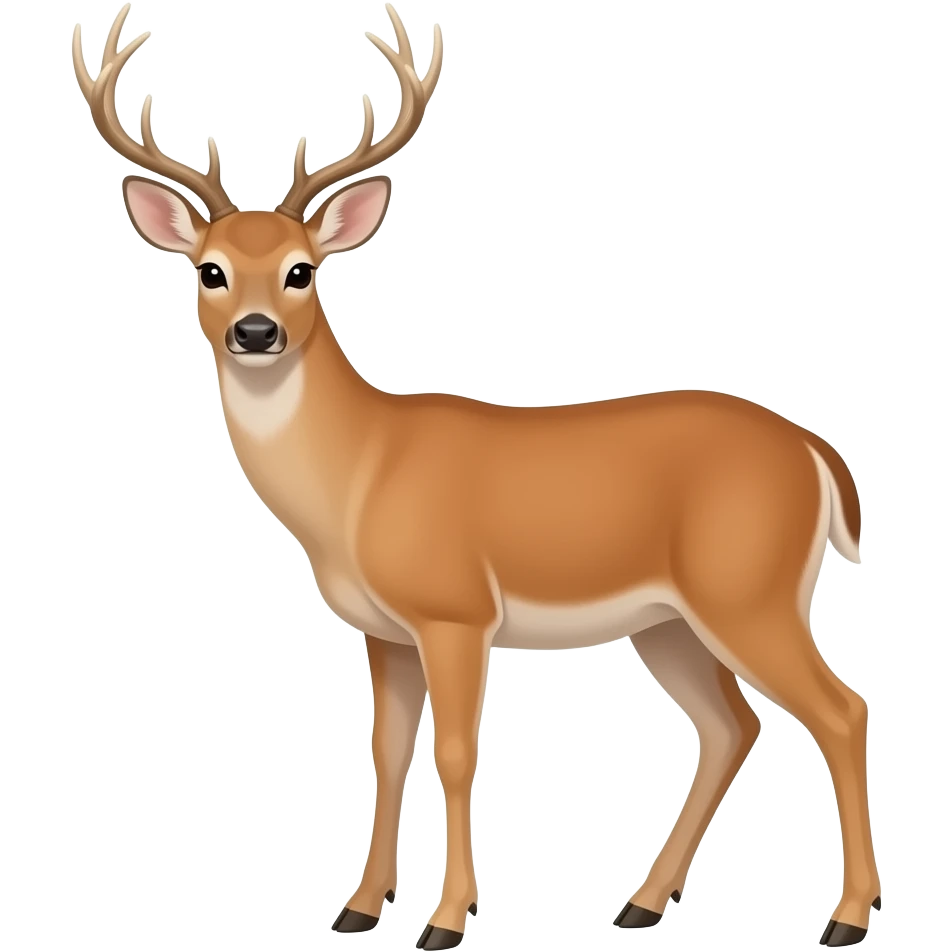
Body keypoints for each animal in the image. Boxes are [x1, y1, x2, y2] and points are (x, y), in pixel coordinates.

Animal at [72, 4, 878, 949]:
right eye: (211, 270)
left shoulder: (454, 611)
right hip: (670, 620)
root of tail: (816, 453)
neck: (360, 474)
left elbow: (456, 757)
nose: (258, 331)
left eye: (303, 270)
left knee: (840, 710)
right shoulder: (383, 631)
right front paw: (358, 908)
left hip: (748, 587)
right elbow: (387, 753)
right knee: (732, 725)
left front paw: (446, 920)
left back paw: (846, 918)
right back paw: (639, 903)